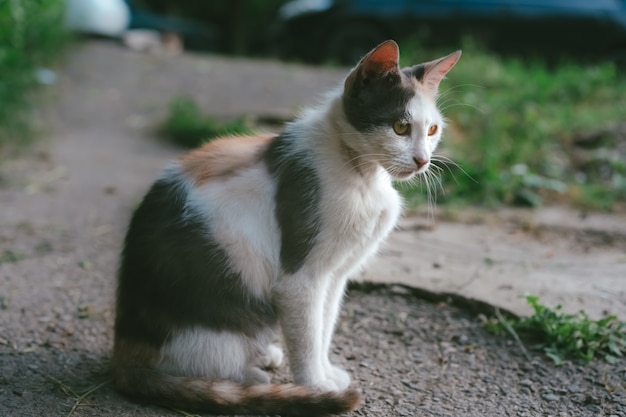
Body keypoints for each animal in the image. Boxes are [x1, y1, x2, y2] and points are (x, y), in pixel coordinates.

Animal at [113, 39, 458, 416]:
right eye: (399, 128)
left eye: (432, 130)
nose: (423, 161)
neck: (361, 175)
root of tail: (124, 351)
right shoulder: (300, 276)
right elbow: (306, 336)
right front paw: (315, 386)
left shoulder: (335, 274)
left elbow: (323, 327)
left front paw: (326, 374)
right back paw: (249, 378)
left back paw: (263, 356)